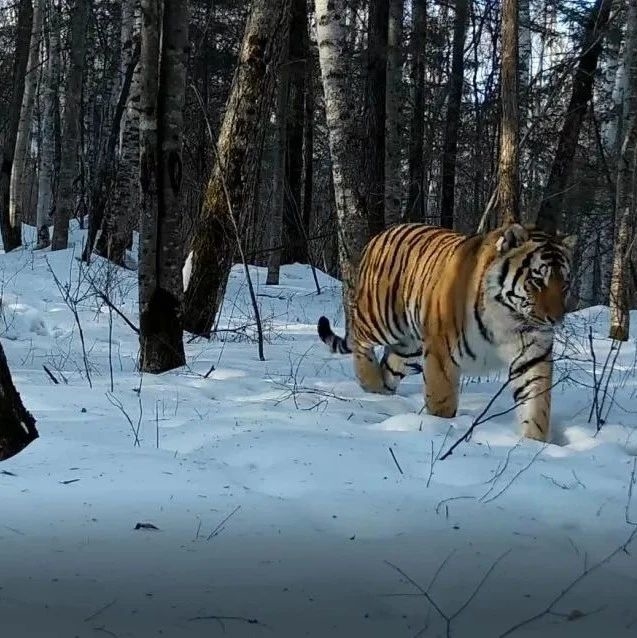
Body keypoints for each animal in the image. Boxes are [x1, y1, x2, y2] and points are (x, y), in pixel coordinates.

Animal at [316, 225, 576, 444]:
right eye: (537, 281)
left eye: (564, 284)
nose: (555, 320)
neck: (509, 319)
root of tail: (380, 235)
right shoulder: (442, 353)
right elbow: (441, 401)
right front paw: (441, 430)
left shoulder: (533, 356)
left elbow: (536, 406)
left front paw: (534, 444)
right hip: (381, 319)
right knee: (359, 337)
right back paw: (368, 381)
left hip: (409, 349)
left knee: (388, 366)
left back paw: (382, 394)